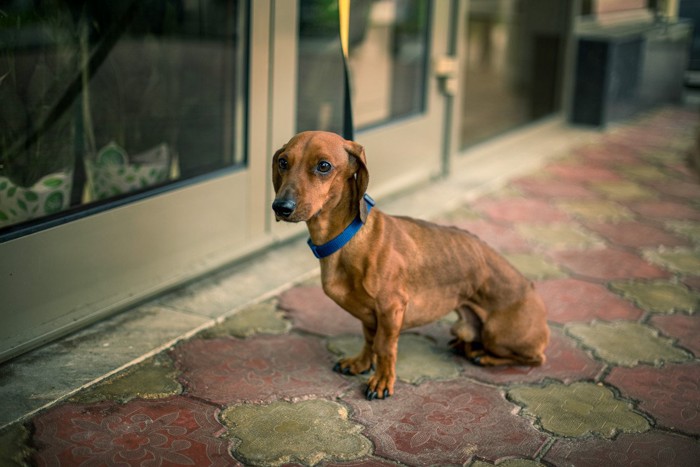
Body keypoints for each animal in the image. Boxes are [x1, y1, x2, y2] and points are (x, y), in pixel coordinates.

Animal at [270, 132, 548, 402]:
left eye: (324, 166)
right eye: (283, 161)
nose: (280, 207)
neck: (349, 238)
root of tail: (533, 291)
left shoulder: (391, 309)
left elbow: (384, 347)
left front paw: (382, 381)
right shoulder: (369, 315)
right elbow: (369, 340)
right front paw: (361, 363)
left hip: (498, 334)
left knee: (535, 358)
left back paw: (485, 356)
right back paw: (465, 346)